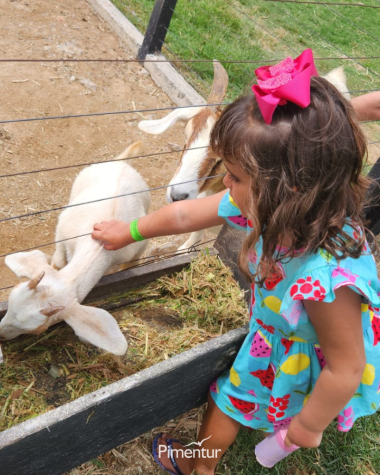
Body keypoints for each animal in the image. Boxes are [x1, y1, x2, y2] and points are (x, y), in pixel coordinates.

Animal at [0, 143, 151, 356]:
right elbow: (58, 261)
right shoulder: (62, 232)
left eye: (38, 329)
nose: (0, 335)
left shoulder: (137, 249)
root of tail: (121, 163)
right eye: (10, 300)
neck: (98, 246)